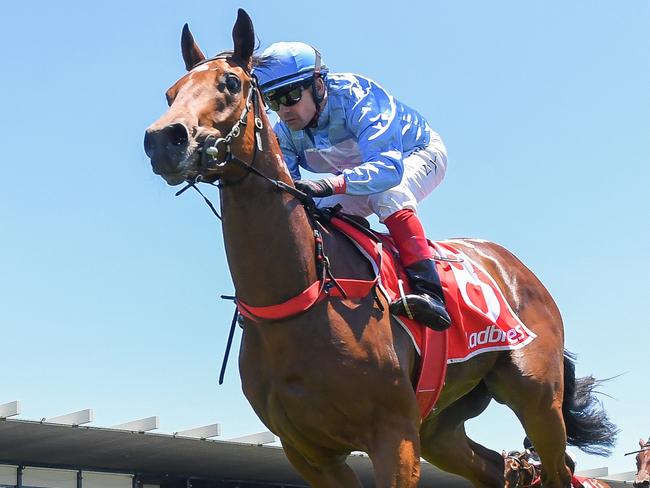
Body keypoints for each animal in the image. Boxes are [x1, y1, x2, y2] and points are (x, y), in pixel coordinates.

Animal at [143, 8, 616, 488]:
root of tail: (514, 268)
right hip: (441, 426)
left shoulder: (395, 434)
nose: (165, 139)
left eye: (231, 83)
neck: (302, 296)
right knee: (498, 469)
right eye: (170, 93)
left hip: (536, 396)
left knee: (558, 468)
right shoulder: (309, 453)